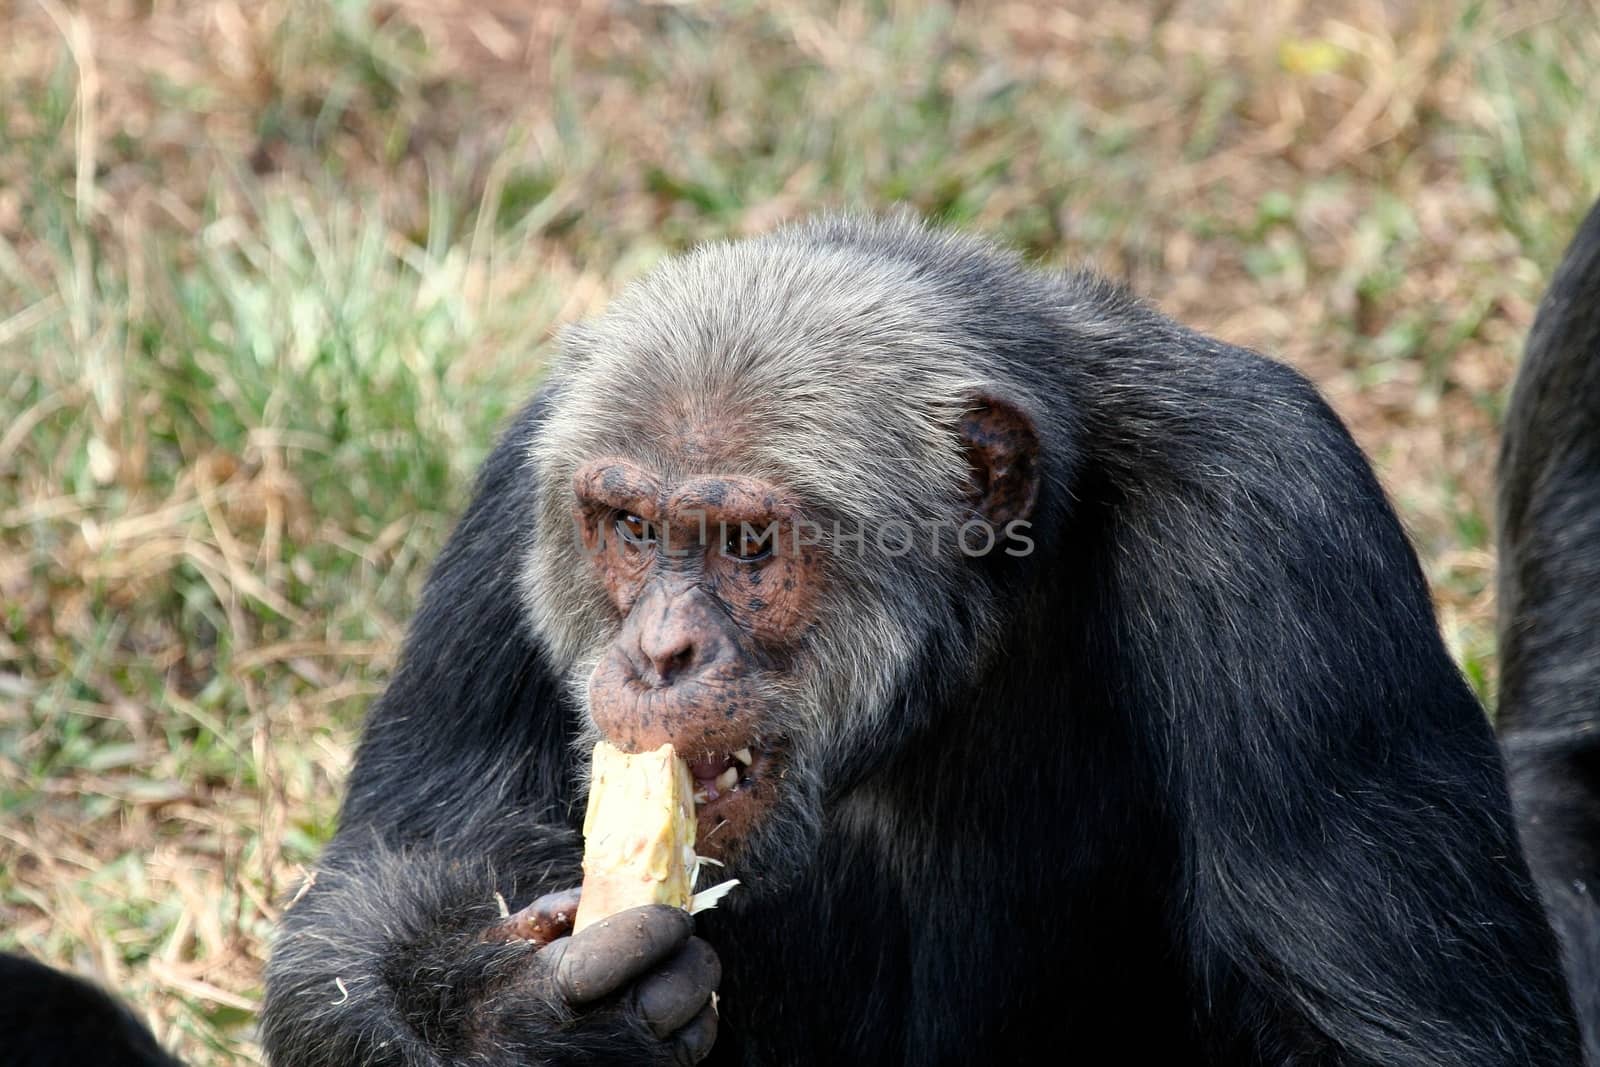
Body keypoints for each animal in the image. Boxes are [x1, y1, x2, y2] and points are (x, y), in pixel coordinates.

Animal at [252, 212, 1587, 1062]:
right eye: (629, 525)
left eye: (746, 543)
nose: (660, 651)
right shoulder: (511, 496)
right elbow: (365, 900)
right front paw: (531, 1012)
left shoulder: (1287, 532)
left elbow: (1397, 1031)